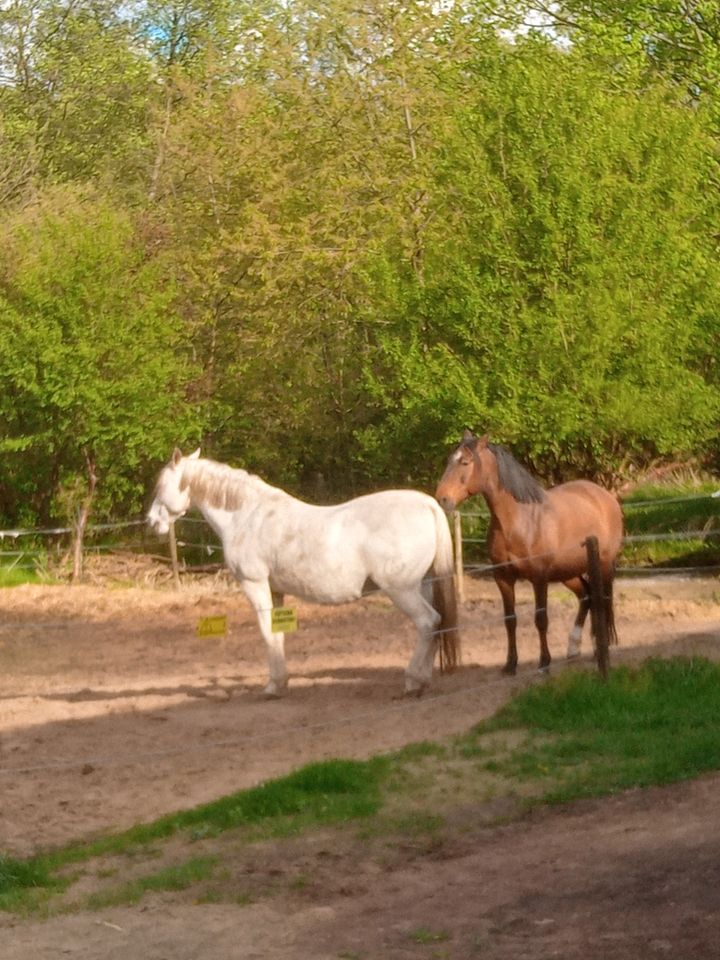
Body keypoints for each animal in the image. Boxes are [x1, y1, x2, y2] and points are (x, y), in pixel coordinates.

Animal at [148, 450, 462, 696]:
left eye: (160, 485)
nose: (152, 522)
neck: (247, 516)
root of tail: (427, 504)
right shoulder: (275, 590)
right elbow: (277, 632)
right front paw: (281, 681)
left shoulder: (254, 585)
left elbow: (266, 632)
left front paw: (273, 686)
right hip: (424, 584)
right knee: (438, 623)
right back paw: (423, 680)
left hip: (402, 589)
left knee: (427, 622)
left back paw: (413, 681)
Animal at [436, 432, 620, 680]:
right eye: (449, 460)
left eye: (465, 462)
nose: (442, 498)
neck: (518, 521)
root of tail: (605, 497)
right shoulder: (503, 578)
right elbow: (510, 620)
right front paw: (510, 664)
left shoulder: (539, 578)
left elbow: (541, 620)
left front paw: (544, 663)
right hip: (568, 573)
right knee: (587, 597)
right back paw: (577, 647)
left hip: (603, 565)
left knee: (603, 601)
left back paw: (601, 646)